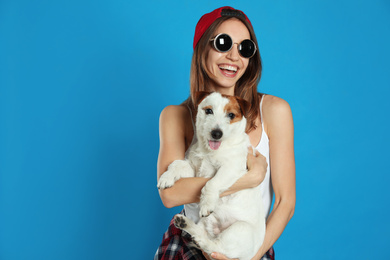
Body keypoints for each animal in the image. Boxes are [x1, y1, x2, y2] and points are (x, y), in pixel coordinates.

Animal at [158, 92, 266, 260]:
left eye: (231, 115)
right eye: (209, 111)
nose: (216, 133)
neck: (209, 150)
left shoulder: (231, 168)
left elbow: (211, 184)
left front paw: (207, 203)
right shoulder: (193, 168)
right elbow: (177, 165)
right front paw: (166, 177)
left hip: (240, 229)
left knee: (214, 246)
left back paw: (201, 240)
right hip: (206, 223)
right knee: (202, 233)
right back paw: (185, 223)